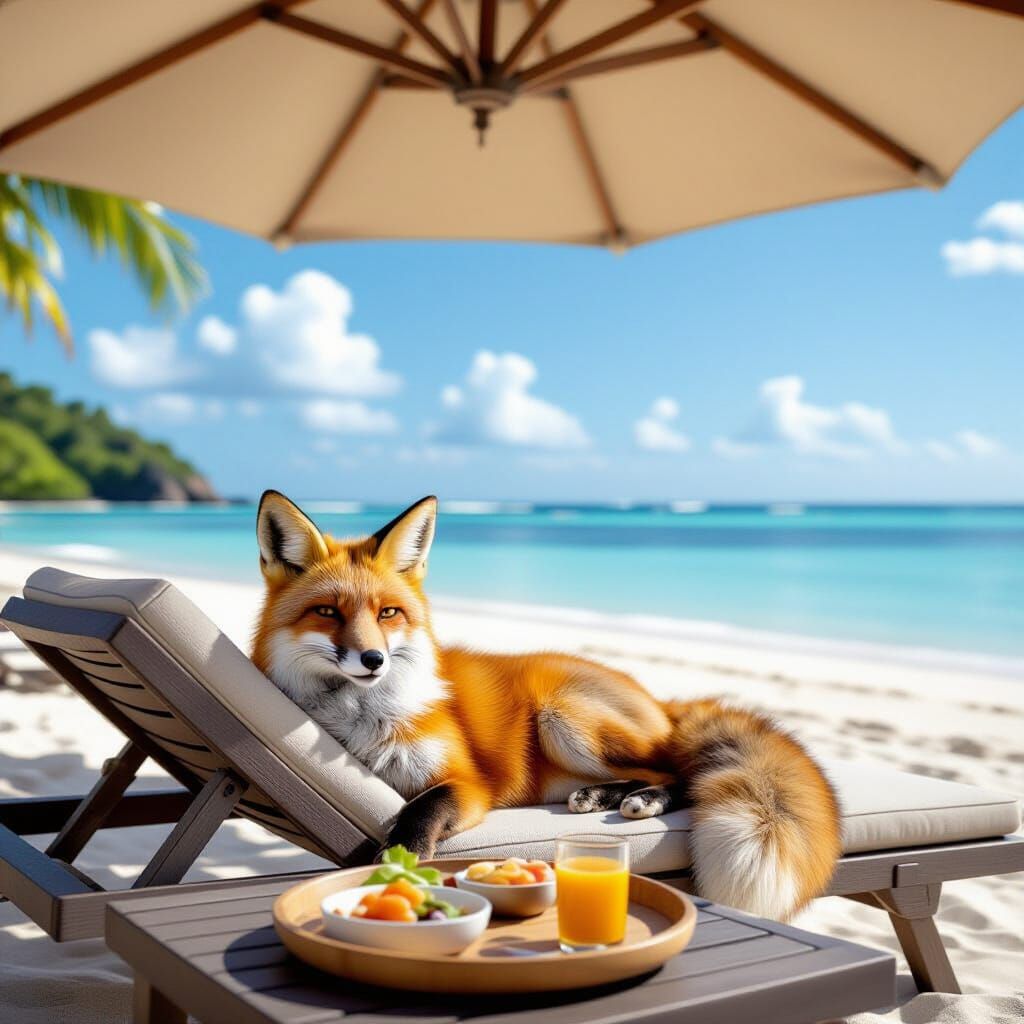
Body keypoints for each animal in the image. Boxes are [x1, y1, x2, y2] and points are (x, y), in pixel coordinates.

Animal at [251, 490, 842, 920]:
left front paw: (402, 861)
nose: (373, 659)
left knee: (680, 772)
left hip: (566, 718)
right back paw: (602, 796)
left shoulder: (468, 783)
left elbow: (420, 811)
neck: (359, 720)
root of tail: (658, 699)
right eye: (328, 611)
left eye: (388, 613)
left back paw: (643, 799)